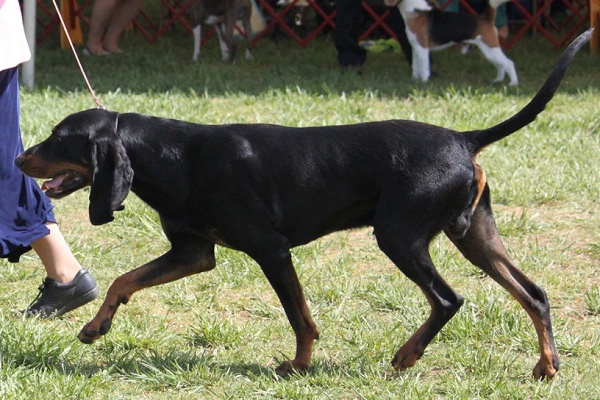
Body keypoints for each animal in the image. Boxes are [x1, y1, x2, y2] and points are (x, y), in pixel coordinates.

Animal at [386, 0, 516, 85]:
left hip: (490, 48)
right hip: (487, 51)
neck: (414, 10)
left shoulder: (422, 48)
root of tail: (486, 18)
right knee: (500, 65)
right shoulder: (415, 48)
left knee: (509, 63)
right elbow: (415, 66)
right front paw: (414, 79)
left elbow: (424, 67)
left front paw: (423, 81)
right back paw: (498, 80)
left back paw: (513, 83)